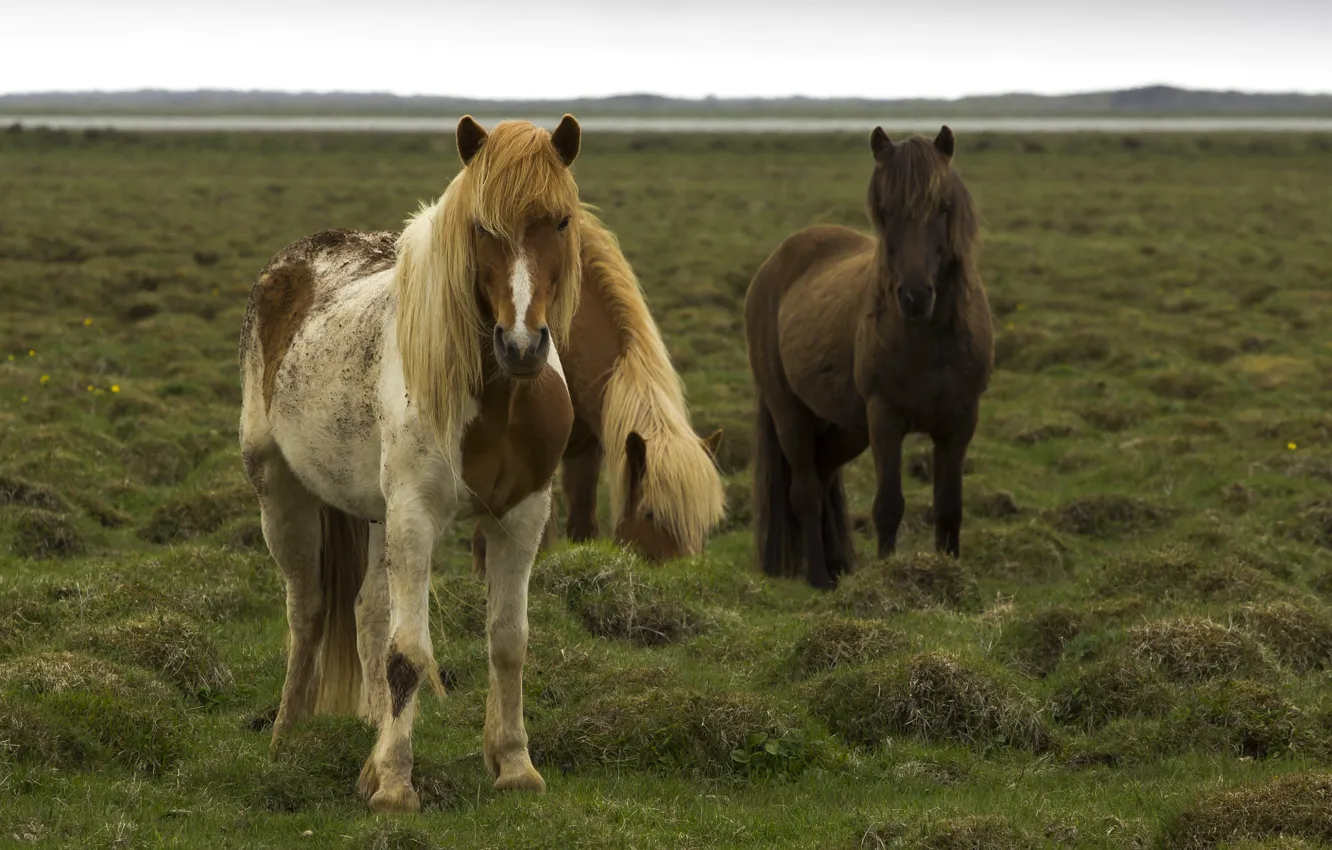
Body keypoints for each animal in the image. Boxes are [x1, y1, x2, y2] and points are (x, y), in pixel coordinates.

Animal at [238, 114, 584, 812]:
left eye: (560, 221)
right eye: (481, 226)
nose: (522, 346)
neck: (498, 398)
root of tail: (291, 261)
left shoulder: (522, 516)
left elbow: (508, 642)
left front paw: (515, 765)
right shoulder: (415, 515)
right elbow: (408, 652)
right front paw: (397, 786)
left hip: (373, 515)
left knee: (365, 609)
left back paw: (368, 739)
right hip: (282, 496)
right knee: (307, 610)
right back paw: (287, 735)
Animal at [744, 125, 994, 589]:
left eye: (943, 207)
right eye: (884, 209)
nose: (914, 297)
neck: (930, 340)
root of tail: (774, 264)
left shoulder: (960, 421)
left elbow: (949, 506)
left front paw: (951, 573)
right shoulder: (885, 419)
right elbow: (889, 506)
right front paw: (888, 575)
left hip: (847, 427)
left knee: (823, 474)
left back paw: (836, 562)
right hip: (791, 413)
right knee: (805, 491)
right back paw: (819, 576)